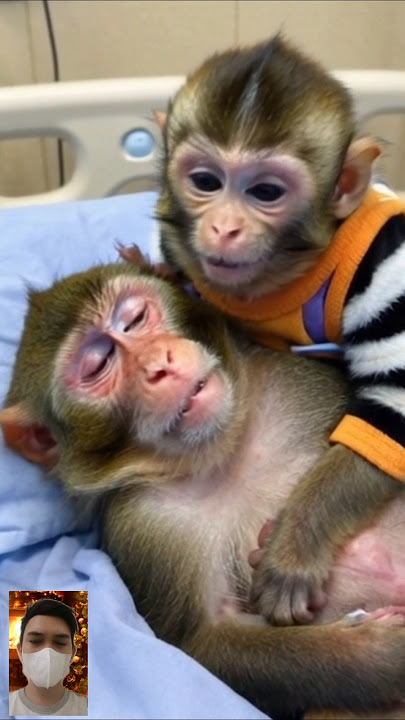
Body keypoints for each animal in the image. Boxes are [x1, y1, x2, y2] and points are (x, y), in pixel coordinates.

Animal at [0, 262, 404, 720]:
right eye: (98, 365)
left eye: (135, 319)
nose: (160, 364)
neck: (224, 457)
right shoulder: (144, 526)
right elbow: (203, 644)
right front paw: (389, 652)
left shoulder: (298, 383)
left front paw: (293, 546)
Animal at [154, 34, 405, 628]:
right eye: (205, 182)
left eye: (265, 192)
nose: (224, 228)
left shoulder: (383, 263)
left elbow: (389, 408)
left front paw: (294, 548)